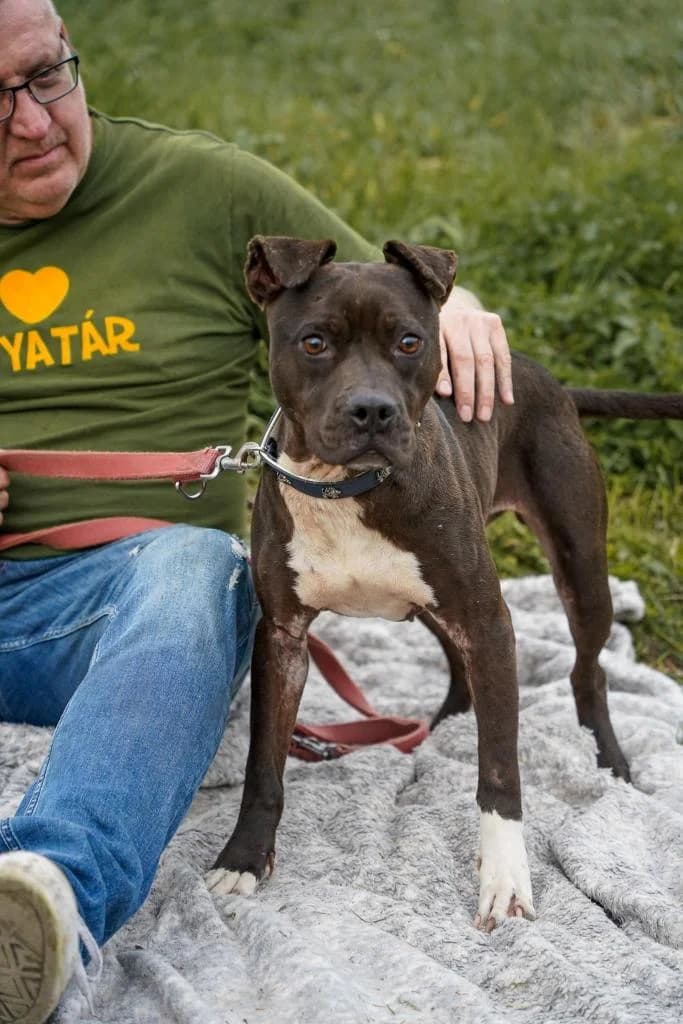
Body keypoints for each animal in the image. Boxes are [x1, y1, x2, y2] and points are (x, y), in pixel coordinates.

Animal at [206, 236, 683, 930]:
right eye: (314, 342)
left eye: (410, 341)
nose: (372, 411)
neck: (348, 488)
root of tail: (541, 374)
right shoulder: (283, 639)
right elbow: (263, 764)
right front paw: (243, 859)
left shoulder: (491, 623)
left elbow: (501, 772)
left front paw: (506, 881)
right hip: (437, 601)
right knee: (461, 667)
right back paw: (449, 725)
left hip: (579, 565)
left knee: (587, 670)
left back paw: (608, 760)